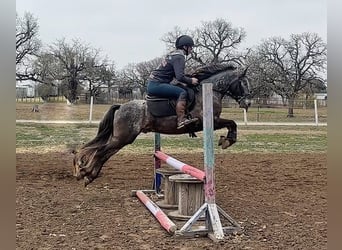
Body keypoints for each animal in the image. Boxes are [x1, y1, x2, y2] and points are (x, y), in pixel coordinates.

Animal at [73, 63, 251, 187]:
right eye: (243, 83)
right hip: (122, 138)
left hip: (122, 139)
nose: (247, 103)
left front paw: (225, 140)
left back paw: (89, 175)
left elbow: (232, 124)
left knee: (104, 153)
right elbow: (232, 123)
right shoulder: (209, 120)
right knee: (99, 152)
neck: (208, 91)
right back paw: (85, 173)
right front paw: (228, 140)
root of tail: (121, 106)